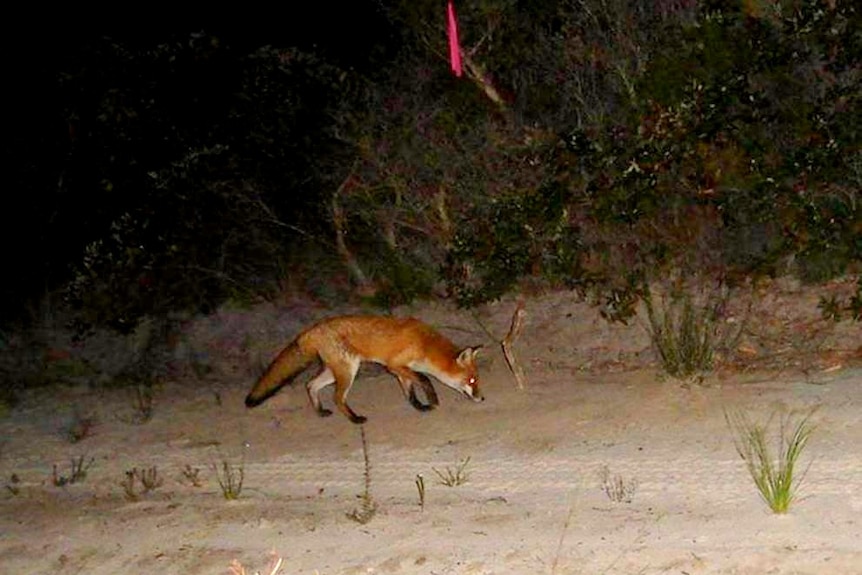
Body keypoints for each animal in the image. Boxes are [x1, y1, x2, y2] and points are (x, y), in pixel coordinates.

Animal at [246, 316, 482, 424]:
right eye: (471, 381)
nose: (482, 398)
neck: (425, 344)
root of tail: (310, 331)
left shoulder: (400, 370)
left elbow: (410, 392)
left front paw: (420, 407)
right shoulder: (394, 365)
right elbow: (424, 379)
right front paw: (432, 399)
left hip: (335, 371)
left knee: (310, 384)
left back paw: (320, 411)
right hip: (348, 371)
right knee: (337, 397)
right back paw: (354, 419)